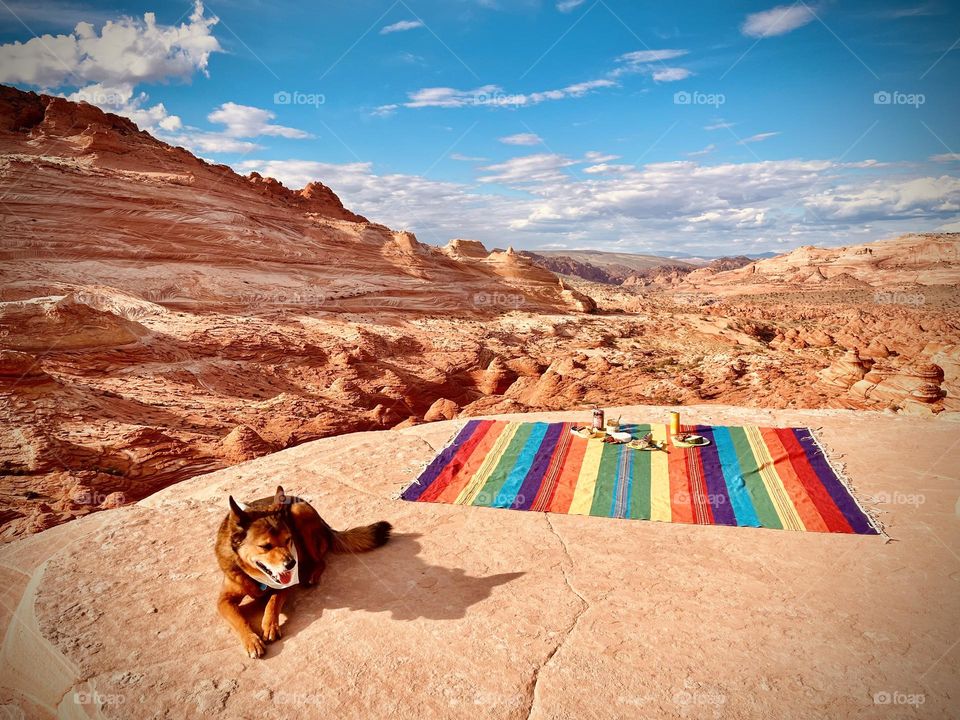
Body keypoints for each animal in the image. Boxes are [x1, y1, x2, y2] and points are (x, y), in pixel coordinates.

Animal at [215, 484, 390, 660]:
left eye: (288, 540)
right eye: (265, 546)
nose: (291, 564)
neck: (256, 576)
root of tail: (326, 527)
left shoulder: (285, 584)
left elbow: (273, 601)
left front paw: (270, 625)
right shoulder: (223, 600)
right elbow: (238, 619)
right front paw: (251, 640)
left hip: (299, 512)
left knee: (320, 561)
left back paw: (312, 575)